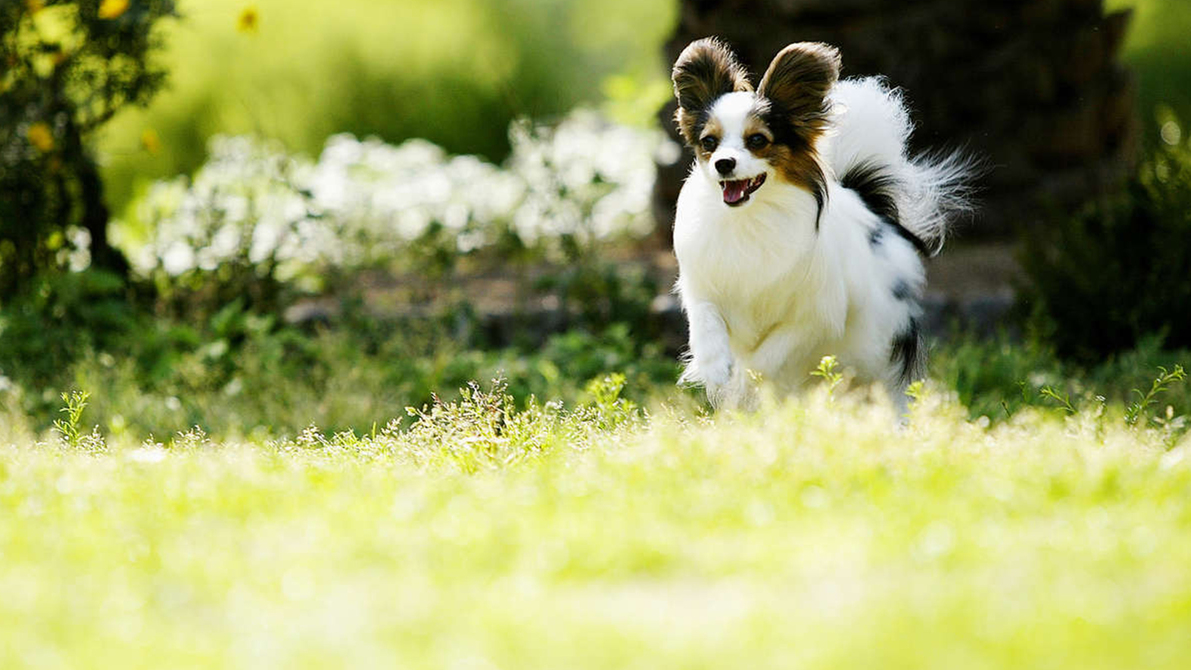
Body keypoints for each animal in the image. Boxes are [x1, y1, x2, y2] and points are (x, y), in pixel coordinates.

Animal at [666, 39, 971, 416]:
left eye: (757, 141)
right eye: (709, 143)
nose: (724, 163)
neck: (750, 217)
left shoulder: (813, 319)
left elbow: (765, 357)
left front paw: (742, 383)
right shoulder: (703, 287)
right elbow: (705, 323)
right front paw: (715, 368)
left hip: (878, 355)